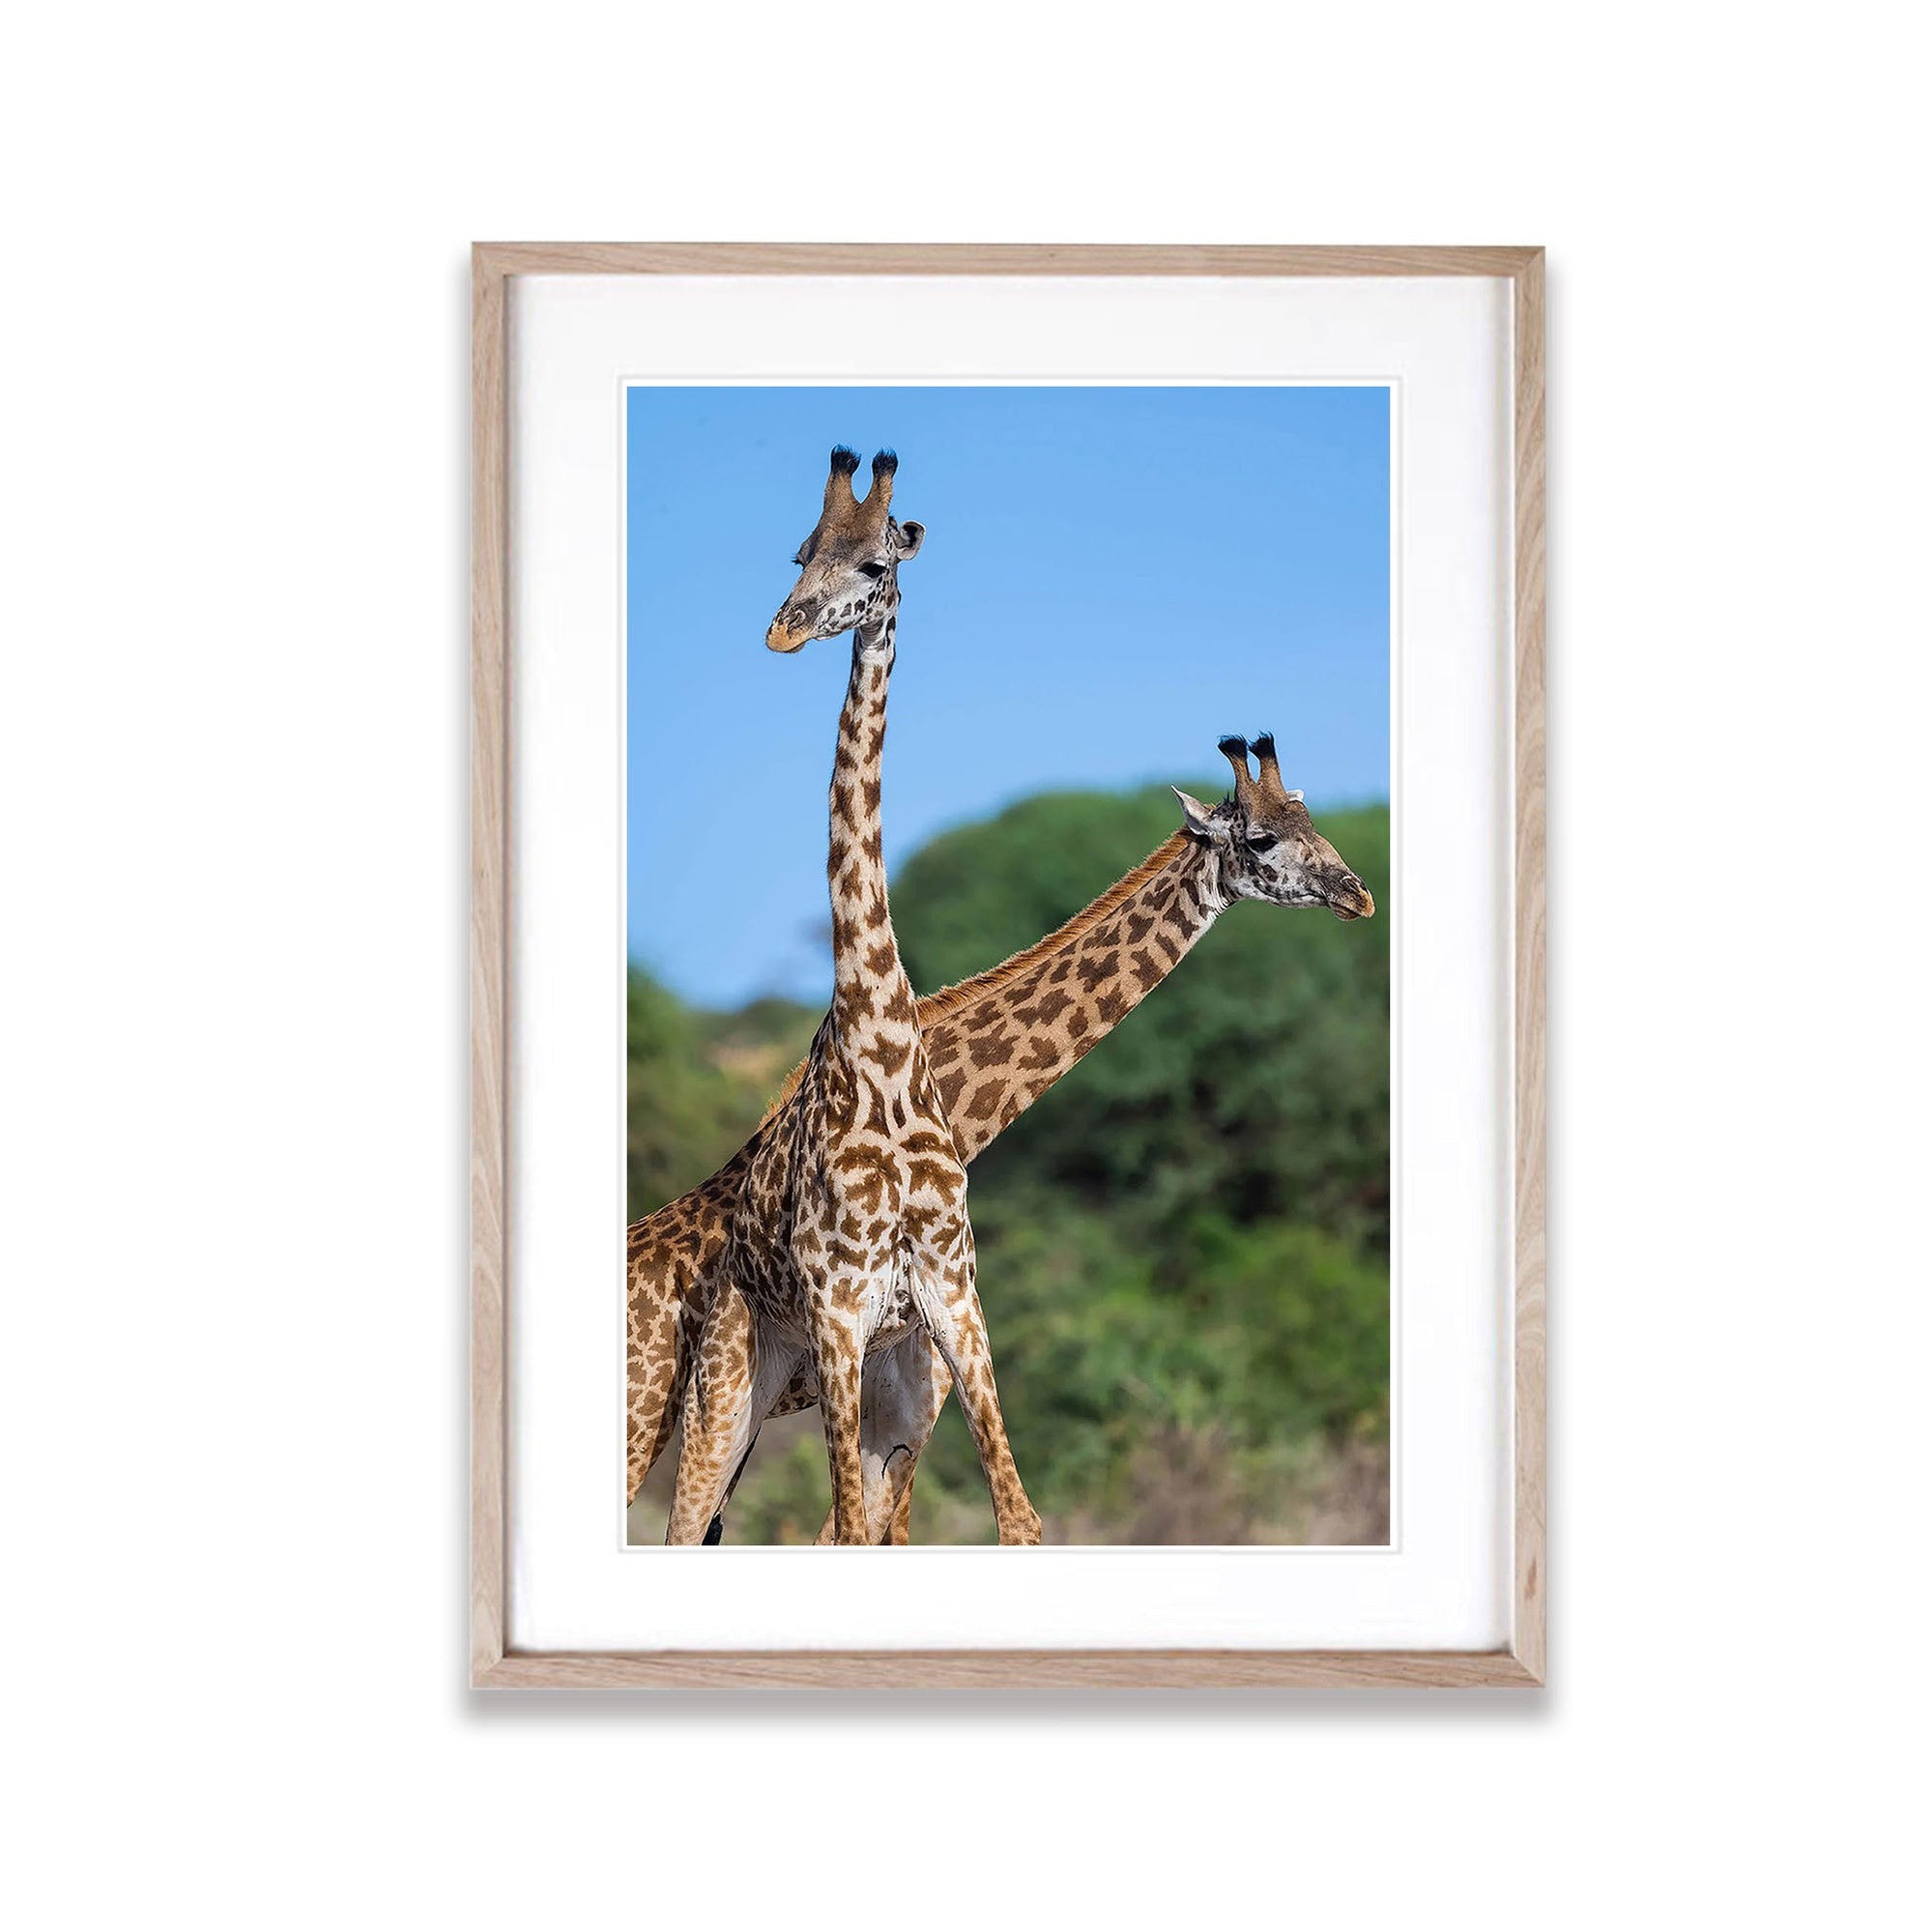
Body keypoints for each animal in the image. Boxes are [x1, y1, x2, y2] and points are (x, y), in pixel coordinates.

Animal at [660, 448, 1043, 1546]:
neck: (879, 1036)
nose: (783, 628)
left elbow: (1020, 1521)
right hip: (732, 1387)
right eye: (801, 553)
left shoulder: (953, 1297)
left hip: (889, 1381)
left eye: (874, 562)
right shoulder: (838, 1308)